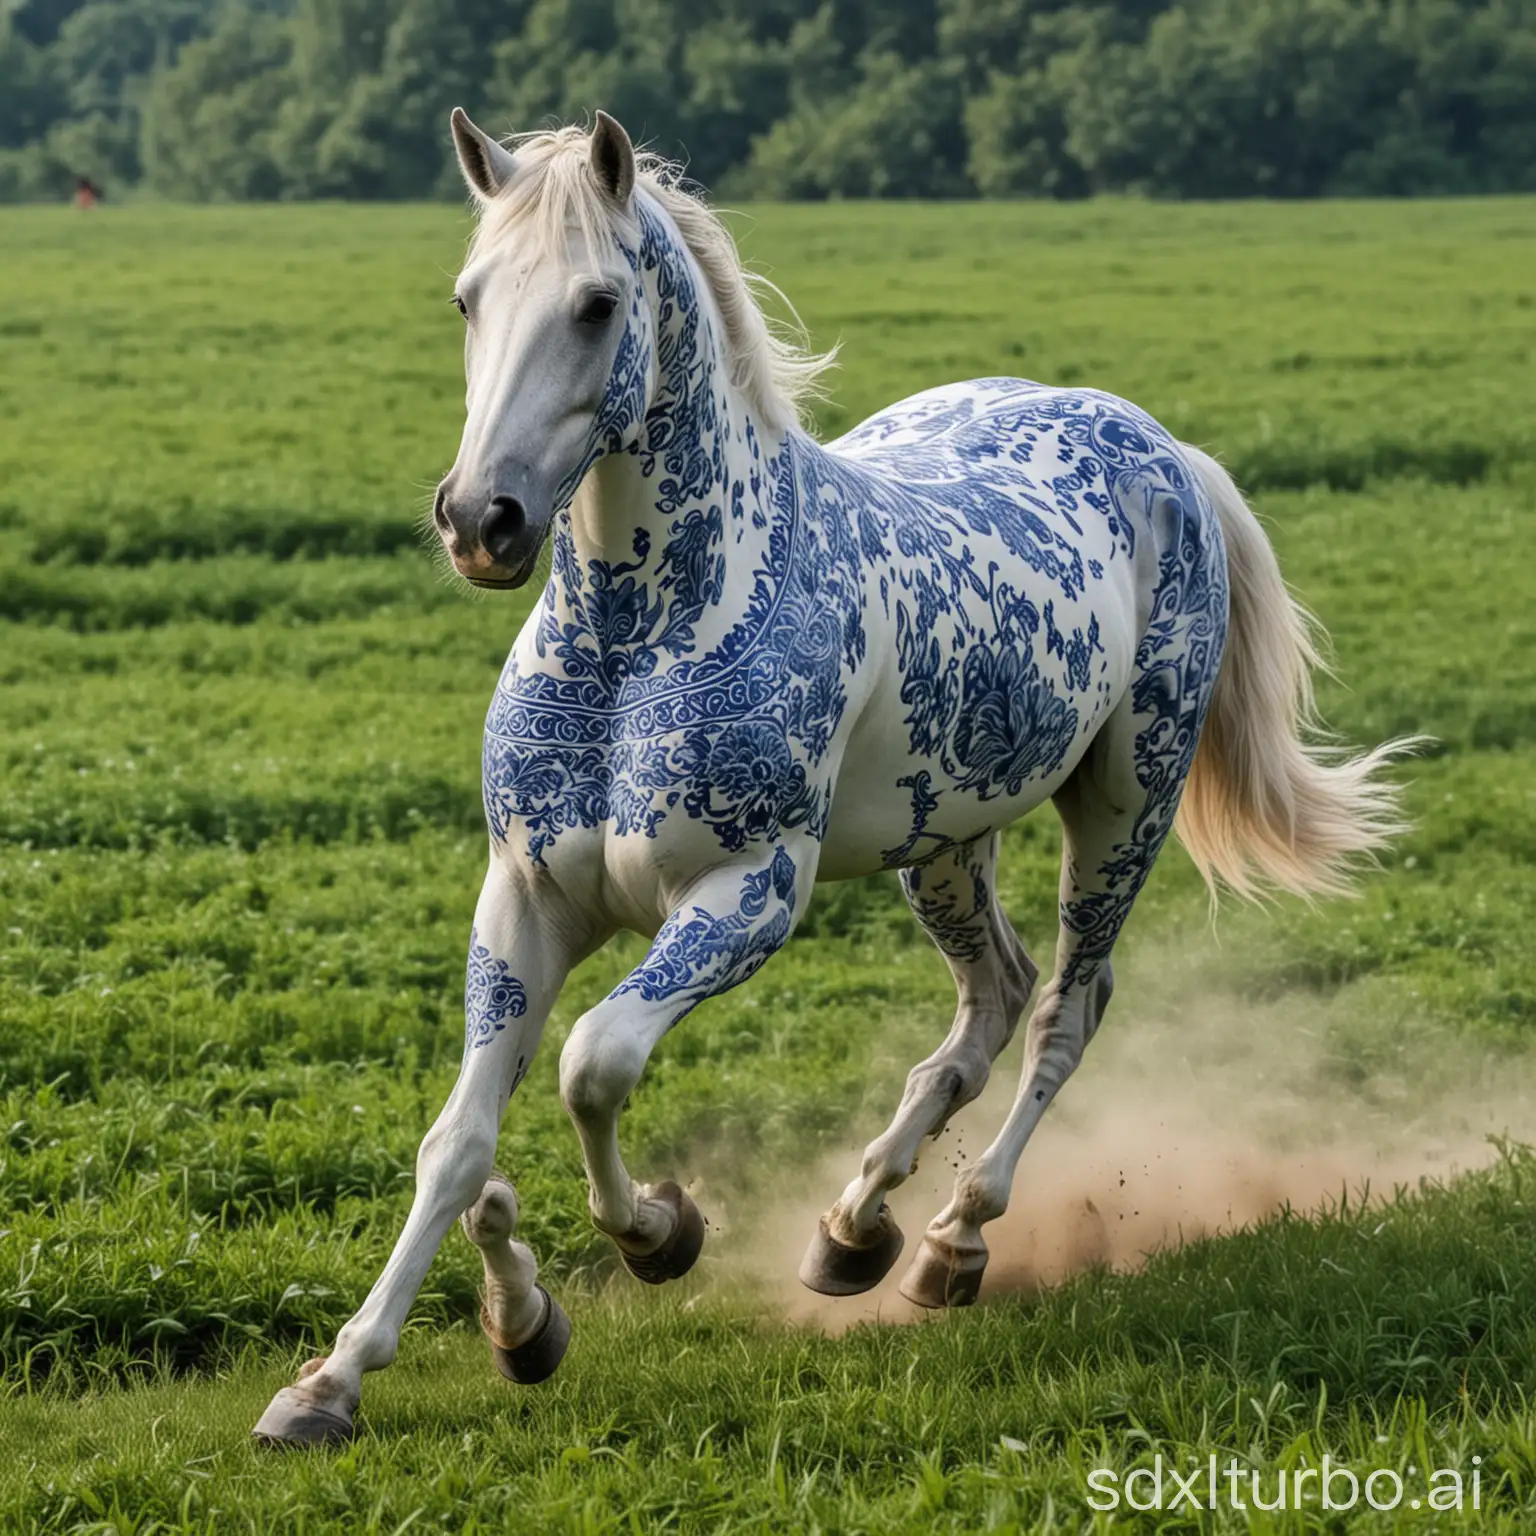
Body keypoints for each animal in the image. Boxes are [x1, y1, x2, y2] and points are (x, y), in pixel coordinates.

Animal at [251, 113, 1413, 1443]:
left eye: (598, 304)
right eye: (467, 297)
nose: (478, 522)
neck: (636, 640)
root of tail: (1161, 449)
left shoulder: (750, 891)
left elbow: (595, 1064)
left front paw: (658, 1234)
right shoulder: (527, 899)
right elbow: (459, 1144)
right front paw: (371, 1369)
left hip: (1127, 806)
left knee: (1065, 1012)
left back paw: (952, 1244)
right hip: (947, 845)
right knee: (990, 1003)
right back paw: (853, 1232)